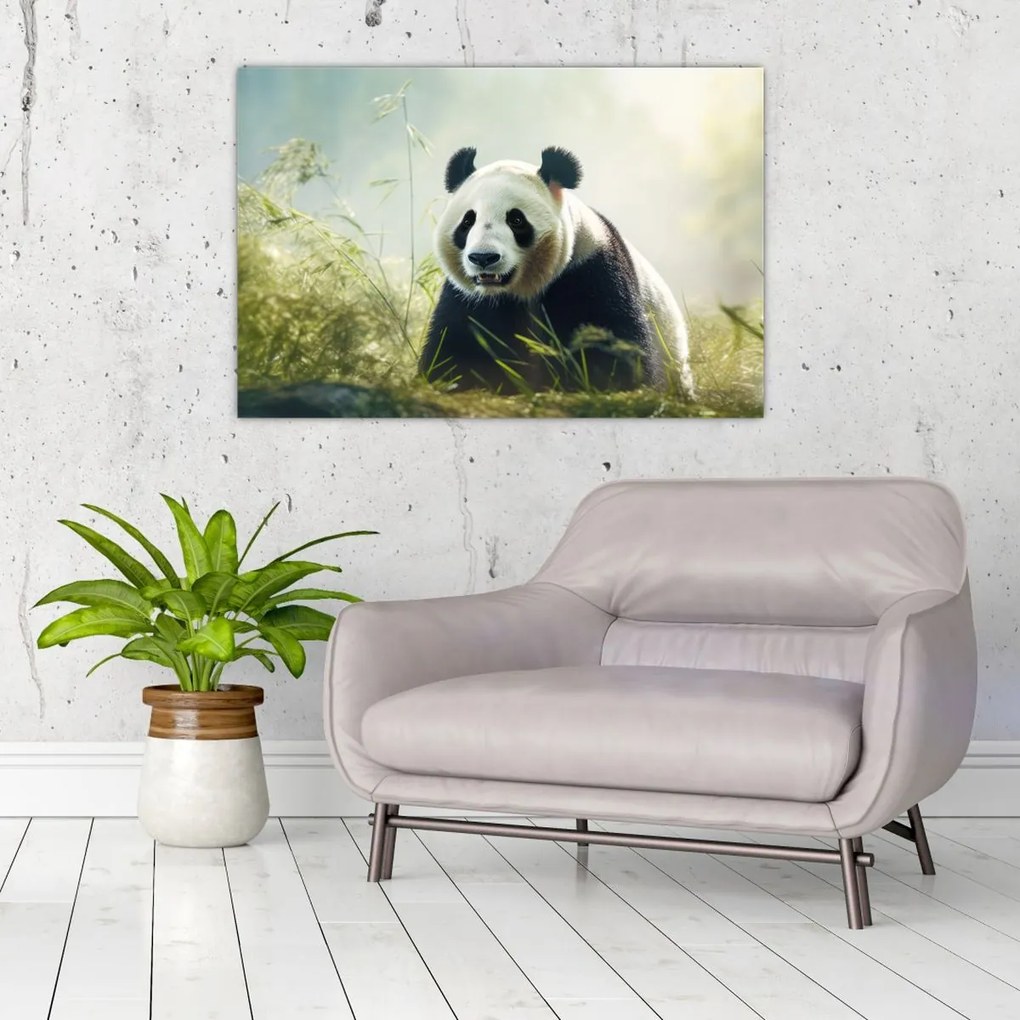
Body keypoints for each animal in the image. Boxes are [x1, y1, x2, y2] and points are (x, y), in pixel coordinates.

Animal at [419, 145, 695, 398]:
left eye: (516, 220)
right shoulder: (468, 299)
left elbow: (610, 346)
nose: (483, 257)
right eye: (468, 221)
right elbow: (456, 348)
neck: (520, 289)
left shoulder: (590, 271)